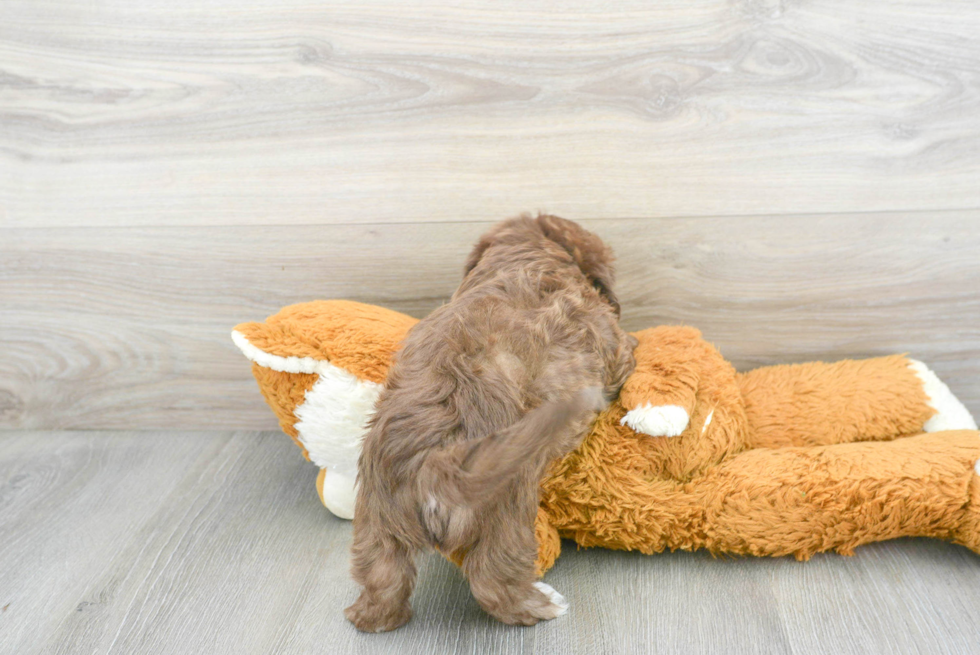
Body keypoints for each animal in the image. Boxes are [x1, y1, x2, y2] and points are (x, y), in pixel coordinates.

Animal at [344, 215, 636, 632]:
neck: (522, 258)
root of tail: (435, 465)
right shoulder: (613, 347)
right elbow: (627, 349)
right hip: (508, 511)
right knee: (492, 578)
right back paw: (541, 605)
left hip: (375, 516)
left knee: (382, 580)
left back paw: (374, 616)